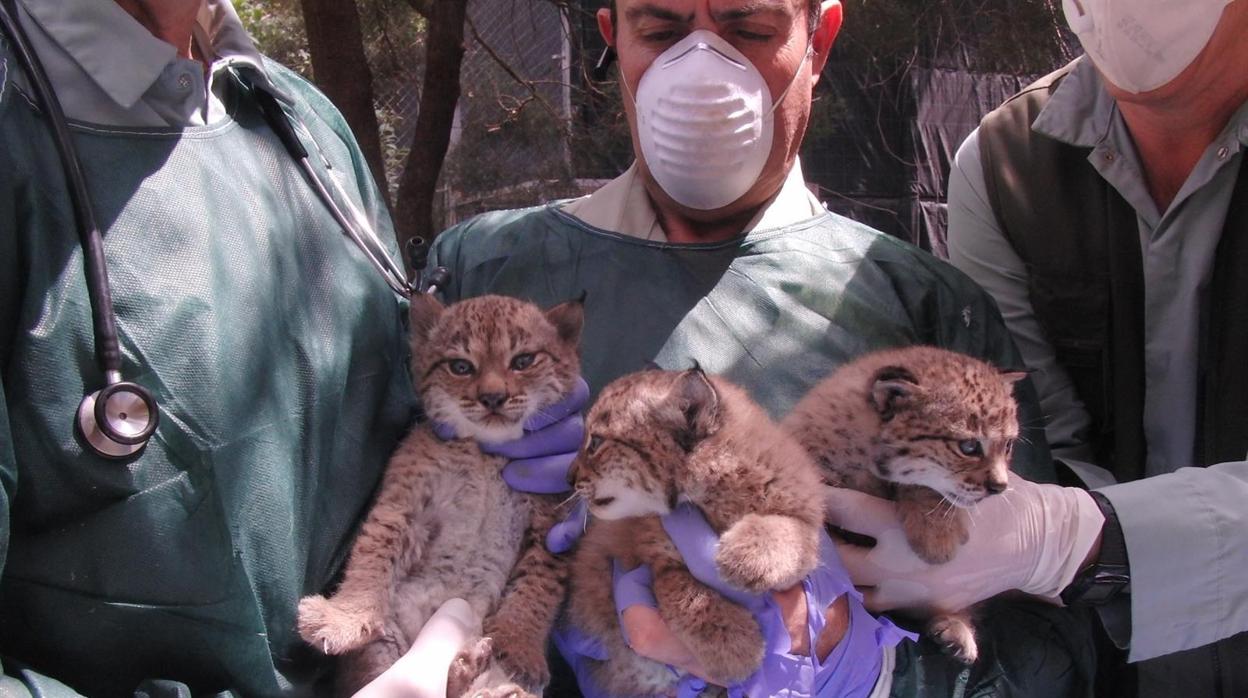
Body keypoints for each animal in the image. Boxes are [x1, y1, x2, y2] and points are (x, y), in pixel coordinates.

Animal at [297, 293, 584, 694]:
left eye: (523, 361)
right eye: (460, 367)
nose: (493, 398)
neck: (485, 452)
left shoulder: (551, 524)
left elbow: (538, 588)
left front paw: (519, 644)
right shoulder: (404, 504)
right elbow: (372, 554)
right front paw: (345, 616)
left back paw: (484, 675)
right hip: (384, 645)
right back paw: (464, 667)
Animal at [569, 369, 828, 694]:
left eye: (596, 442)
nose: (568, 479)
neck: (708, 494)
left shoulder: (807, 518)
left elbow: (790, 529)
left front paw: (748, 556)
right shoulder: (655, 561)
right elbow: (683, 591)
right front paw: (736, 647)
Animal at [788, 347, 1023, 664]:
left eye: (1008, 446)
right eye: (969, 447)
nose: (1000, 487)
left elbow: (925, 486)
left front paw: (936, 534)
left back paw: (956, 629)